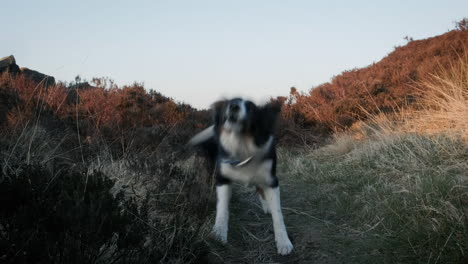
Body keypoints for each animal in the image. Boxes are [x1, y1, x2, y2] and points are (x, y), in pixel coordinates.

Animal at [187, 98, 292, 255]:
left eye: (250, 106)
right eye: (228, 102)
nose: (234, 106)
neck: (242, 145)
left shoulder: (271, 180)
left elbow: (278, 214)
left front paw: (283, 241)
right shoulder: (222, 179)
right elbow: (222, 208)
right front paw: (219, 233)